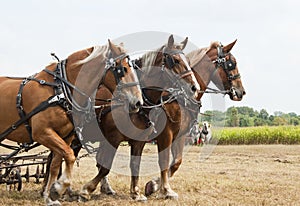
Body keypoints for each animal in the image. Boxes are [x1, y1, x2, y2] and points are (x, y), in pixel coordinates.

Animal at [0, 39, 143, 205]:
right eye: (123, 69)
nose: (138, 102)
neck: (60, 91)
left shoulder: (66, 136)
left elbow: (56, 164)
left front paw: (51, 195)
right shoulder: (42, 133)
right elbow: (69, 156)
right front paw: (60, 188)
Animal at [77, 35, 200, 201]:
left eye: (187, 60)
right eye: (174, 60)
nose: (194, 87)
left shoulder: (141, 140)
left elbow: (136, 164)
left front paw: (136, 192)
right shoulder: (114, 138)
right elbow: (105, 166)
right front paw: (86, 189)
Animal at [144, 39, 246, 199]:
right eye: (232, 64)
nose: (241, 92)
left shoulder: (180, 135)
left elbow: (176, 162)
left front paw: (154, 185)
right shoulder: (165, 135)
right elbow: (164, 161)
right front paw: (159, 187)